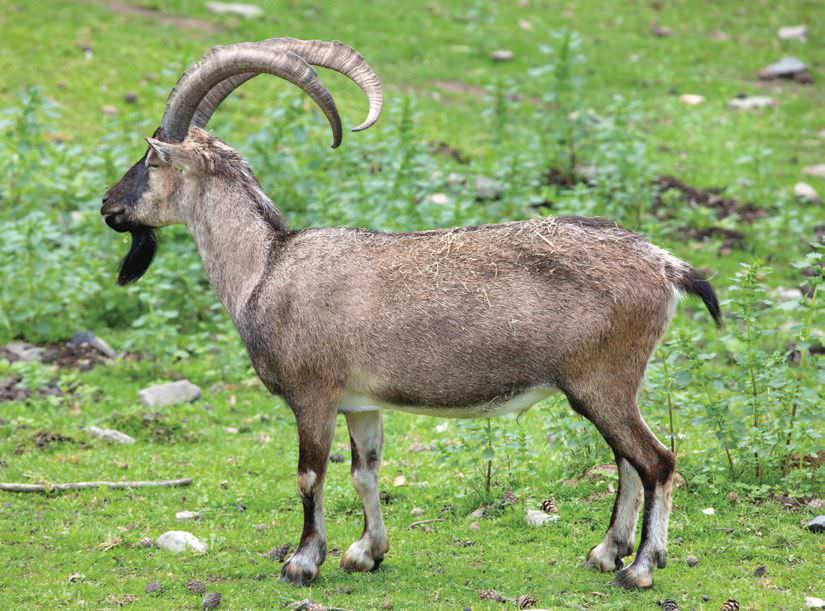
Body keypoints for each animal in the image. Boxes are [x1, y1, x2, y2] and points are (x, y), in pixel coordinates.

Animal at [101, 38, 721, 589]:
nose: (108, 205)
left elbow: (310, 474)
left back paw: (640, 568)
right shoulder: (361, 404)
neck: (266, 266)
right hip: (610, 388)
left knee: (656, 461)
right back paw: (605, 553)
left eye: (151, 159)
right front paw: (365, 553)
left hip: (600, 382)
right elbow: (365, 473)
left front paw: (303, 562)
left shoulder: (313, 394)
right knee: (628, 462)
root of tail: (667, 267)